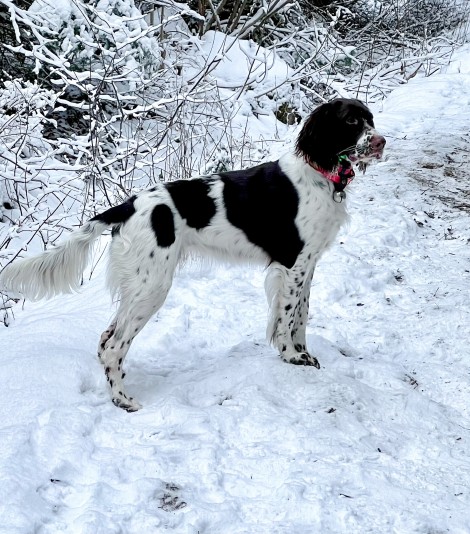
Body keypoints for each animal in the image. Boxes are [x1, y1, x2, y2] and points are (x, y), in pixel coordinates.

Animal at [0, 98, 386, 412]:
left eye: (370, 119)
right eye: (352, 121)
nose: (381, 142)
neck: (319, 173)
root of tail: (130, 205)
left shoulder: (306, 264)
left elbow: (301, 315)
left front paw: (304, 353)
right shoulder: (292, 265)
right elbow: (287, 317)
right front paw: (291, 356)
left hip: (139, 286)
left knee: (106, 339)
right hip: (152, 287)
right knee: (113, 345)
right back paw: (124, 400)